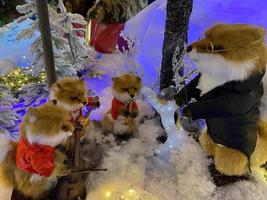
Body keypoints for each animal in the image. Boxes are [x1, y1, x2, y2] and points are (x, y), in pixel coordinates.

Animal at [176, 23, 267, 177]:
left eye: (216, 47)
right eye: (205, 37)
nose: (188, 47)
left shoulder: (232, 103)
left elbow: (212, 107)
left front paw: (188, 109)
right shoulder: (199, 82)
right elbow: (191, 87)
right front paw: (179, 98)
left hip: (231, 156)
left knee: (232, 167)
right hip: (209, 136)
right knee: (209, 146)